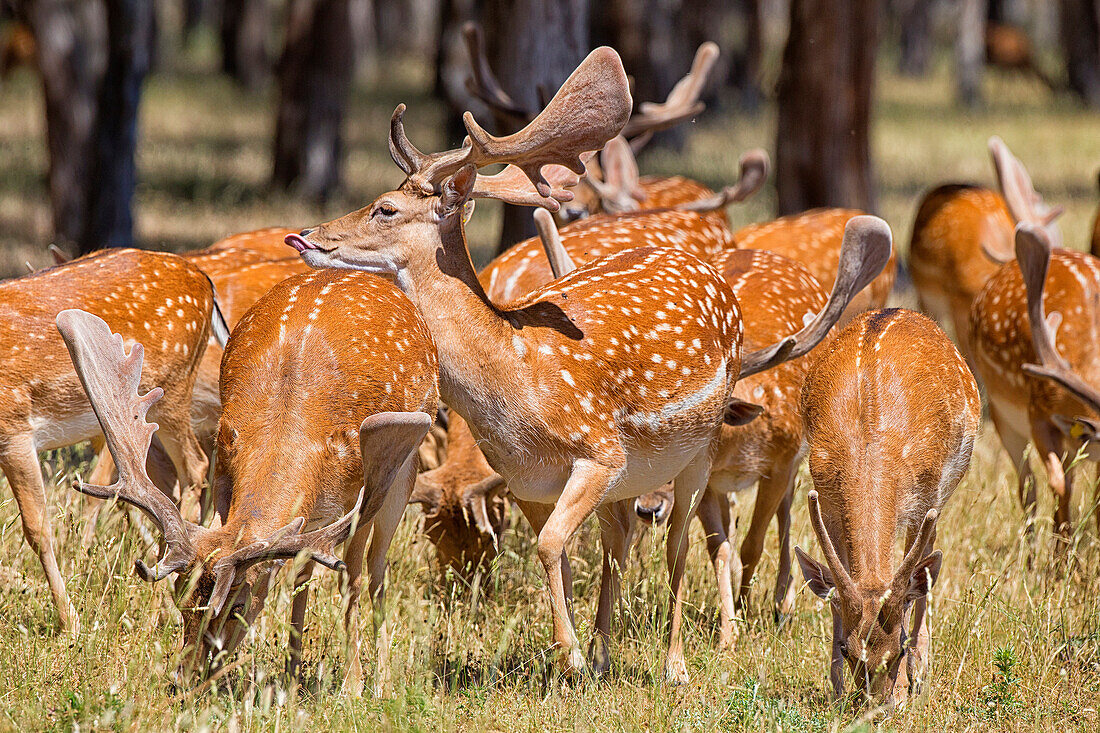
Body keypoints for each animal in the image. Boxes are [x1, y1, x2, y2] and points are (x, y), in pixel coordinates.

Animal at [0, 248, 216, 629]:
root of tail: (202, 278)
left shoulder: (15, 428)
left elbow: (37, 529)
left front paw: (71, 622)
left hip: (174, 390)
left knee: (195, 466)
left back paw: (160, 606)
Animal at [61, 267, 437, 691]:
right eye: (180, 595)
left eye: (238, 605)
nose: (186, 678)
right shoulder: (226, 463)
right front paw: (295, 670)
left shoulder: (359, 492)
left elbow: (350, 577)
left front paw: (353, 686)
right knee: (306, 570)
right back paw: (294, 669)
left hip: (403, 468)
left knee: (374, 568)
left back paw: (379, 675)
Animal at [792, 308, 981, 708]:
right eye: (846, 649)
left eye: (899, 647)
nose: (877, 708)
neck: (868, 442)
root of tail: (896, 309)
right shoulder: (825, 498)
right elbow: (837, 585)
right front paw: (835, 688)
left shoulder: (924, 497)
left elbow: (911, 587)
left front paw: (910, 683)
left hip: (938, 497)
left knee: (925, 572)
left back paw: (922, 676)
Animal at [972, 222, 1100, 537]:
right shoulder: (1037, 412)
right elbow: (1058, 486)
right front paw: (1062, 550)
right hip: (1001, 414)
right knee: (1027, 487)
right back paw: (1030, 548)